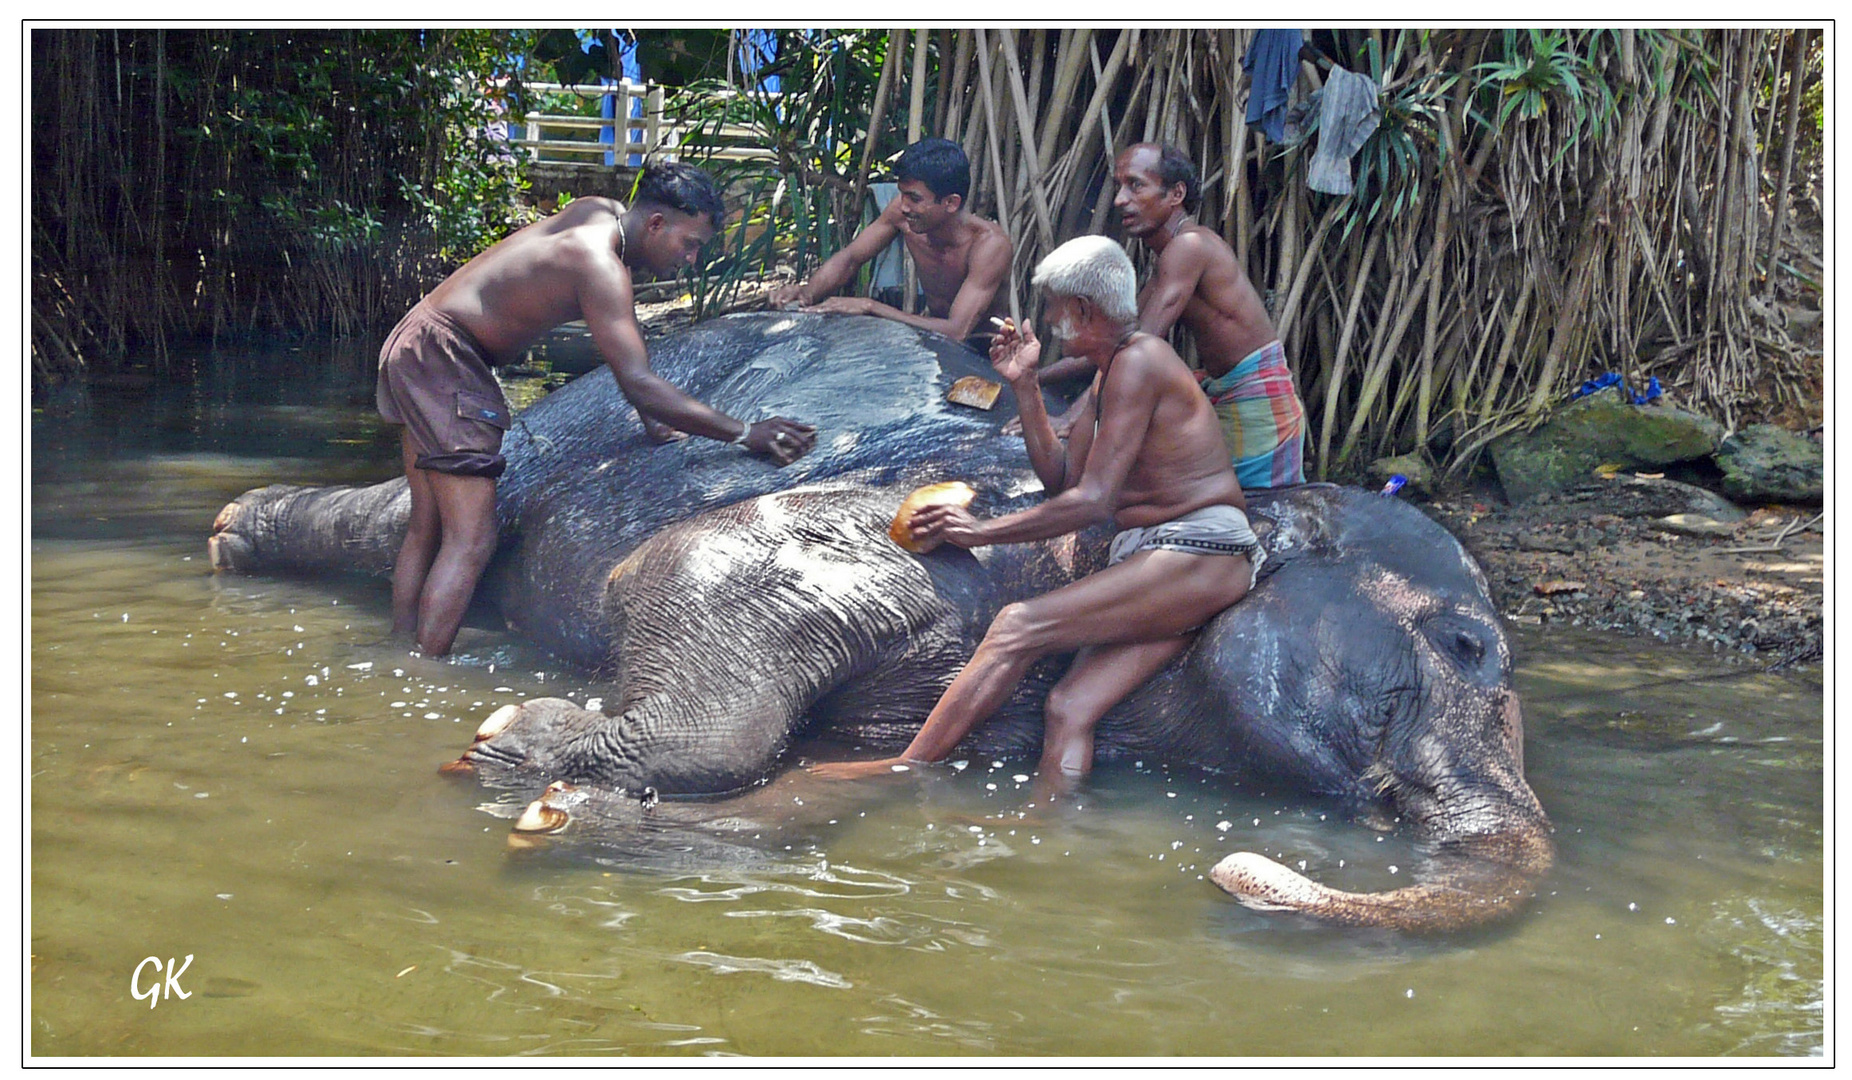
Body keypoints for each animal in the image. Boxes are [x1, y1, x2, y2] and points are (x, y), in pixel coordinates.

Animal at [210, 311, 1555, 929]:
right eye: (1467, 645)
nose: (1231, 868)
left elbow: (853, 777)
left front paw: (556, 798)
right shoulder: (889, 535)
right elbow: (686, 567)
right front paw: (511, 745)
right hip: (568, 417)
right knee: (439, 513)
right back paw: (232, 533)